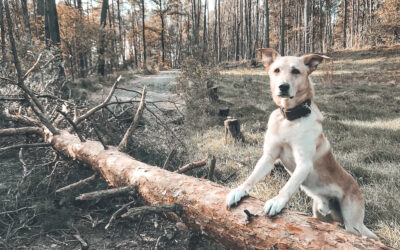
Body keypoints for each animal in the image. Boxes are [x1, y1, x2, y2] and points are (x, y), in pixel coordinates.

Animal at [227, 48, 376, 238]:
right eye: (276, 70)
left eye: (296, 71)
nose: (283, 86)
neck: (289, 120)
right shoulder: (268, 157)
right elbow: (252, 177)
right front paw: (239, 190)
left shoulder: (304, 163)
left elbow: (288, 186)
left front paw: (277, 201)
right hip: (320, 213)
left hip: (353, 223)